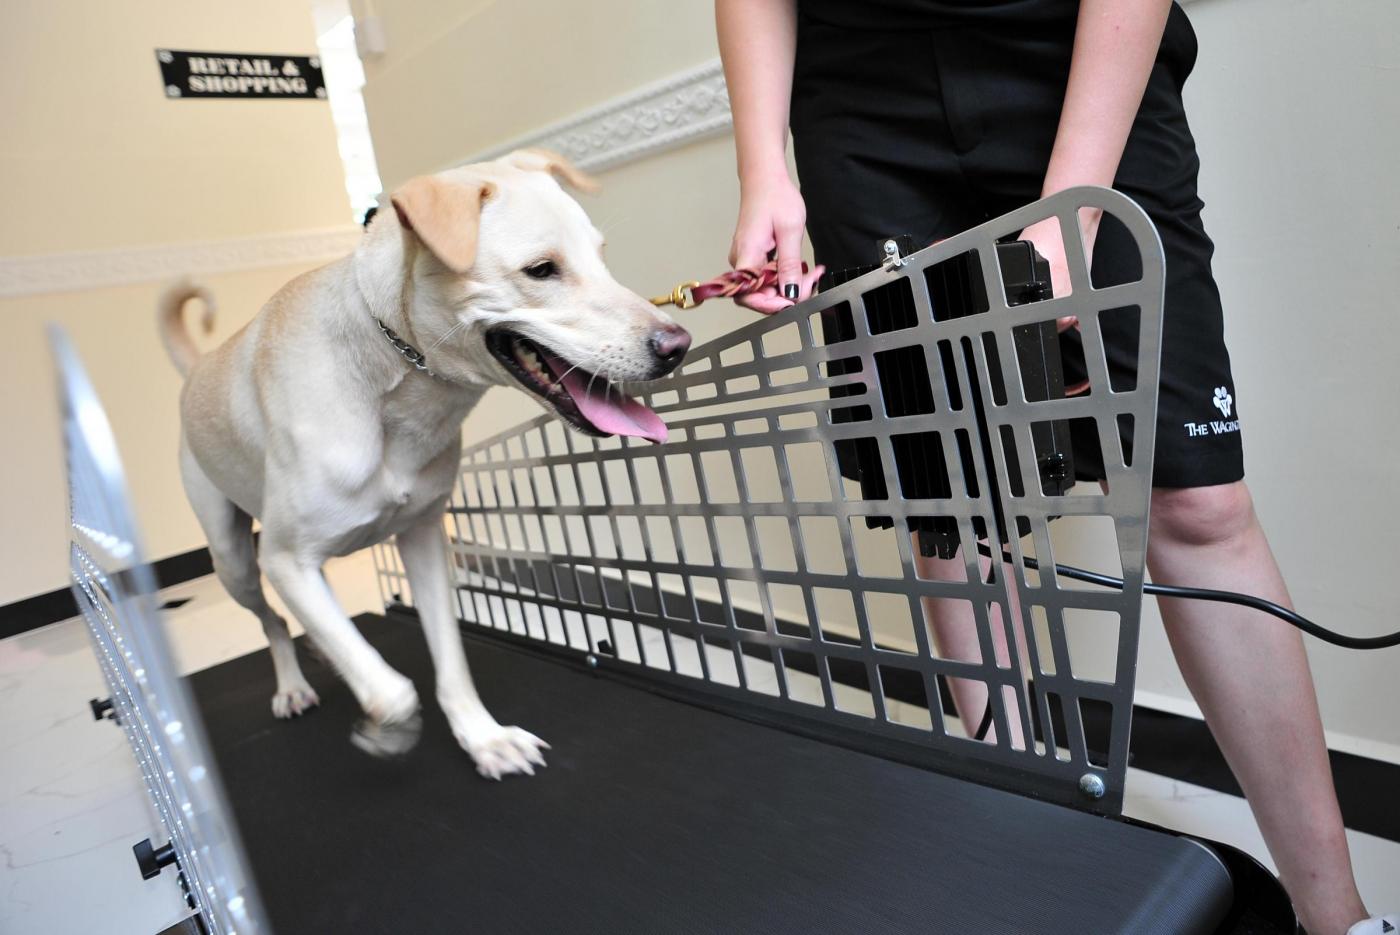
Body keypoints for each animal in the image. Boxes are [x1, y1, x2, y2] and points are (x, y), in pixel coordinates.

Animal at [158, 151, 688, 783]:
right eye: (541, 270)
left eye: (601, 256)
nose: (677, 345)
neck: (396, 373)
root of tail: (196, 370)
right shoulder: (285, 561)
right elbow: (392, 691)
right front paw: (385, 728)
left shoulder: (425, 541)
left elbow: (450, 661)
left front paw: (483, 738)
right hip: (235, 560)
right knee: (273, 622)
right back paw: (292, 684)